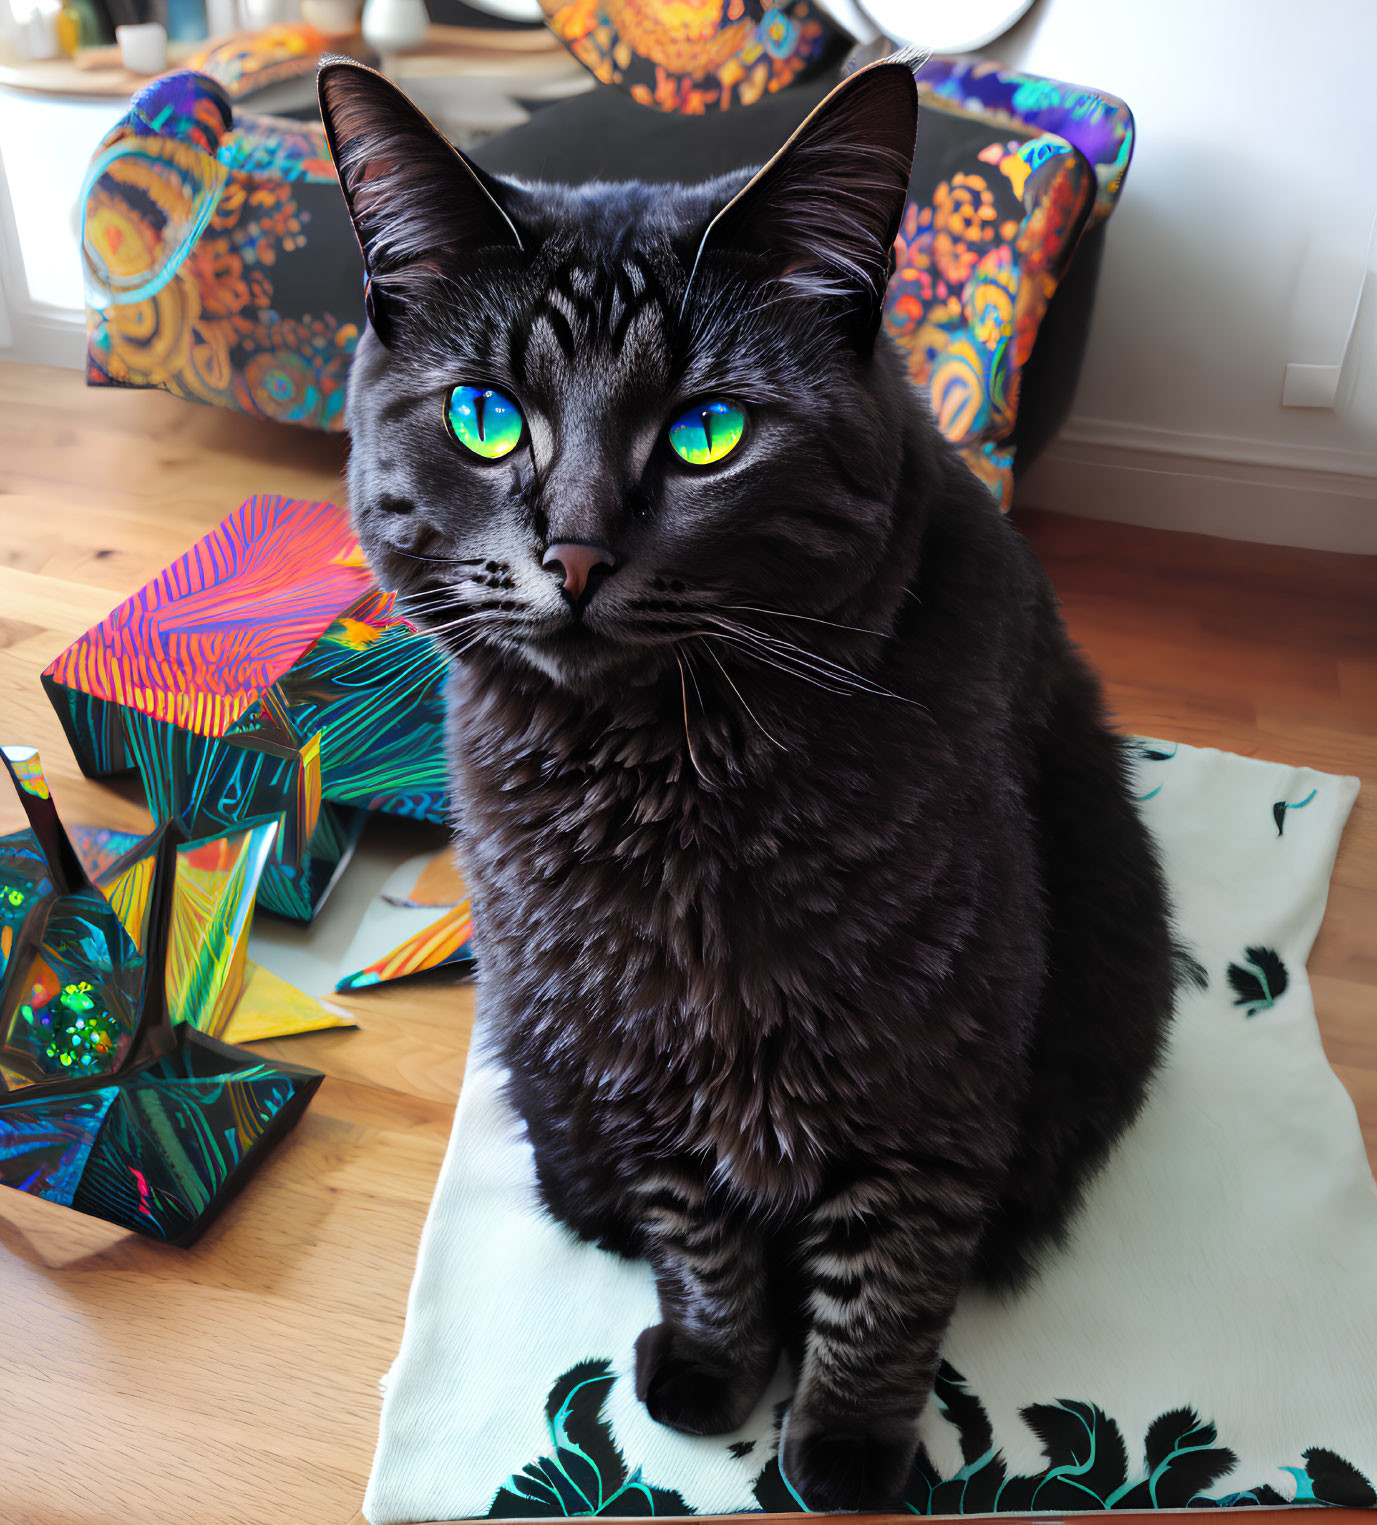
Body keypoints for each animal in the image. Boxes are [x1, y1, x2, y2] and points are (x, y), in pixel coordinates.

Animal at [317, 56, 1177, 1512]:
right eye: (486, 419)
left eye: (707, 433)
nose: (576, 554)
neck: (666, 772)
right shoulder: (628, 1035)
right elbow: (695, 1222)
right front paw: (723, 1358)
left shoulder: (939, 1041)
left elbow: (894, 1257)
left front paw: (845, 1440)